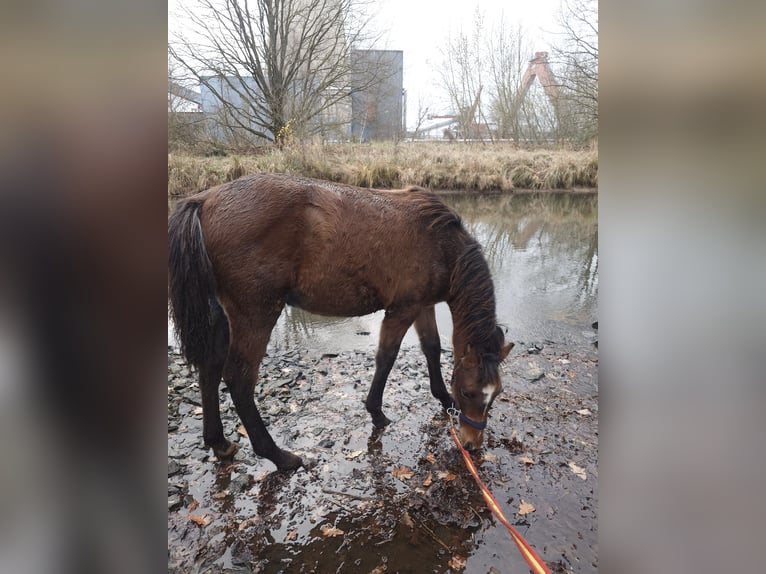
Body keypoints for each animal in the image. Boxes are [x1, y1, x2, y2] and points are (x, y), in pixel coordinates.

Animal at [168, 173, 513, 471]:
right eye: (468, 392)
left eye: (495, 395)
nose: (472, 444)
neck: (439, 241)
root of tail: (205, 199)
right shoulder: (403, 309)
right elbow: (386, 357)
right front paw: (377, 412)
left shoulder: (423, 306)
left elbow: (432, 347)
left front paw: (442, 397)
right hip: (256, 314)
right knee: (239, 380)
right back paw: (279, 457)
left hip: (221, 314)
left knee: (210, 367)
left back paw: (219, 443)